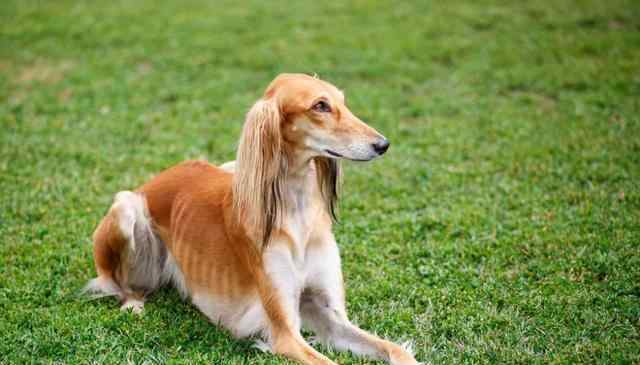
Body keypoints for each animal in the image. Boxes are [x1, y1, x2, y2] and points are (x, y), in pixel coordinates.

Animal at [85, 74, 420, 364]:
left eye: (342, 102)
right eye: (320, 106)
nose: (383, 144)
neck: (297, 212)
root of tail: (162, 175)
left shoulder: (331, 316)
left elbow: (394, 349)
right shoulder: (285, 333)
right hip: (125, 207)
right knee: (114, 281)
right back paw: (133, 302)